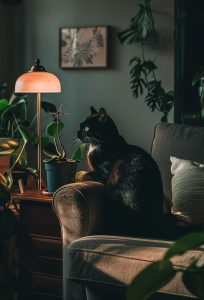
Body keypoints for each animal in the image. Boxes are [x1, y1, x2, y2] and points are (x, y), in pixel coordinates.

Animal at [77, 106, 163, 236]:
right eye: (80, 126)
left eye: (86, 128)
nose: (77, 133)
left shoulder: (103, 174)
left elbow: (86, 174)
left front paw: (79, 177)